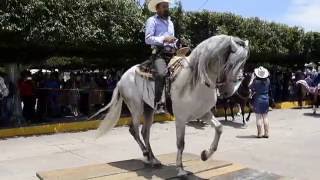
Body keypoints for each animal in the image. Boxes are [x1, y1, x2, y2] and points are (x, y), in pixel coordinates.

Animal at [90, 34, 250, 176]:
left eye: (244, 64)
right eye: (231, 64)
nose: (228, 92)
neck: (195, 81)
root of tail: (122, 78)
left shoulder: (203, 113)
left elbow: (219, 128)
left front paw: (205, 154)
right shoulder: (180, 118)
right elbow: (181, 143)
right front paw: (180, 169)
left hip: (149, 109)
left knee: (145, 132)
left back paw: (153, 159)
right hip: (136, 107)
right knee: (134, 130)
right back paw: (146, 154)